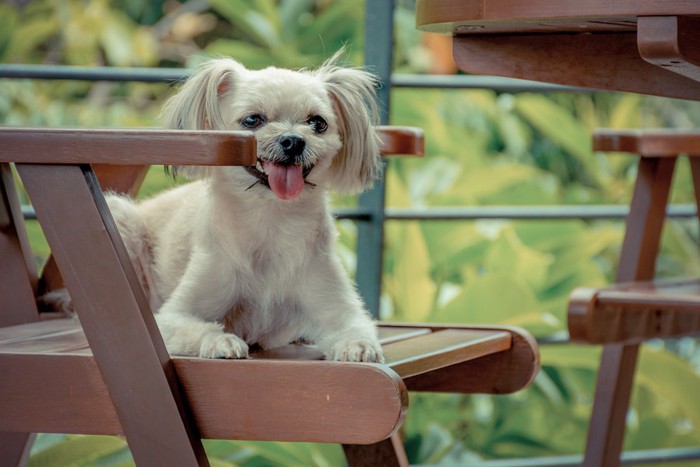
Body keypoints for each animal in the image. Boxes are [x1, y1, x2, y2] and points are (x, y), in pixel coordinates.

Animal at [49, 54, 388, 362]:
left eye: (318, 123)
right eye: (253, 120)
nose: (293, 140)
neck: (270, 220)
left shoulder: (340, 309)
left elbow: (354, 328)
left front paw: (358, 346)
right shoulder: (173, 318)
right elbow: (201, 327)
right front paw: (221, 341)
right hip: (122, 221)